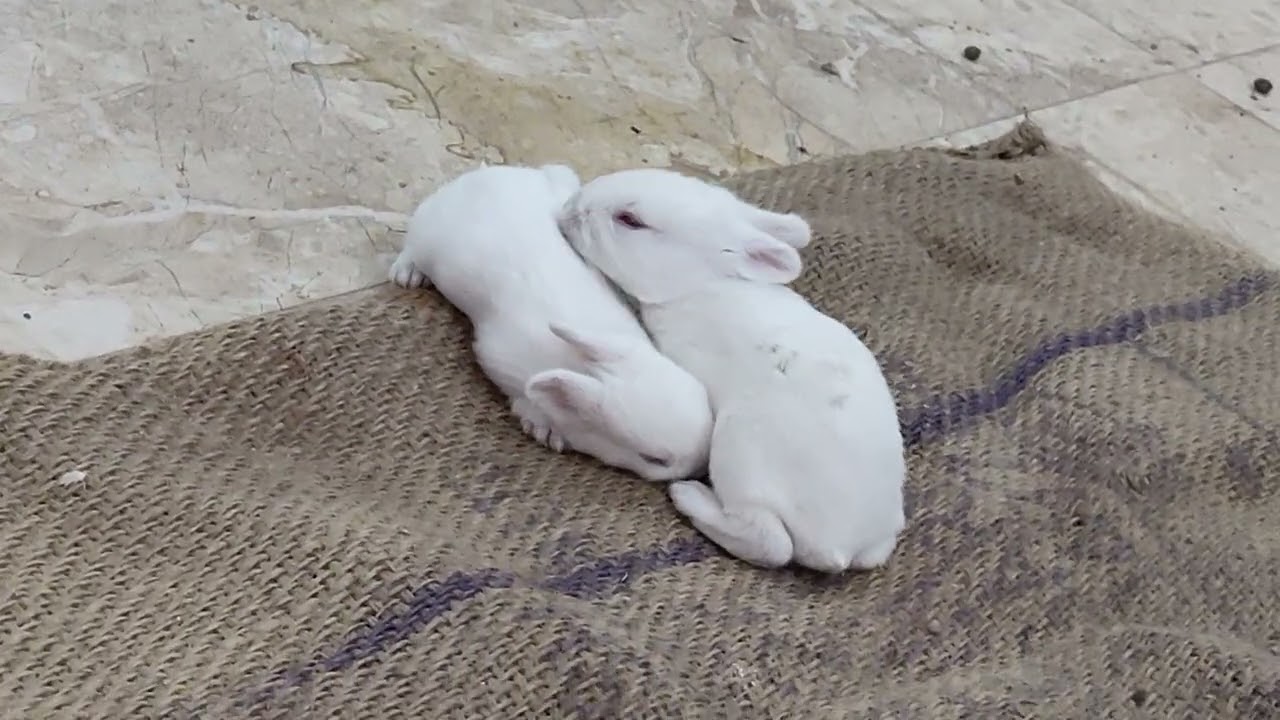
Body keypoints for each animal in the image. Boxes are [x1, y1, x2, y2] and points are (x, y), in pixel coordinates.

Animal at [388, 163, 713, 482]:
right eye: (655, 460)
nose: (699, 468)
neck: (584, 366)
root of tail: (482, 174)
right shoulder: (500, 358)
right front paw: (544, 429)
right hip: (426, 233)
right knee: (410, 247)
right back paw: (408, 274)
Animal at [556, 167, 906, 572]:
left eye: (630, 220)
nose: (571, 209)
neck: (699, 284)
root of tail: (841, 548)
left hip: (740, 454)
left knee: (770, 541)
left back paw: (689, 495)